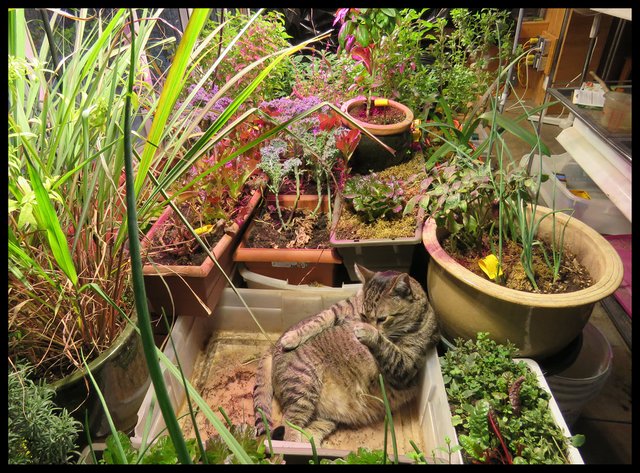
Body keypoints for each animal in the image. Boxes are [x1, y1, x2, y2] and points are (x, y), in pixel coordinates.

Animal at [254, 264, 440, 444]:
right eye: (364, 314)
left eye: (382, 319)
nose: (363, 323)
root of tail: (272, 348)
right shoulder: (340, 309)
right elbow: (320, 320)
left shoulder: (405, 365)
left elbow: (387, 347)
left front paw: (369, 333)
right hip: (302, 387)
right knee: (289, 427)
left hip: (323, 415)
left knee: (308, 433)